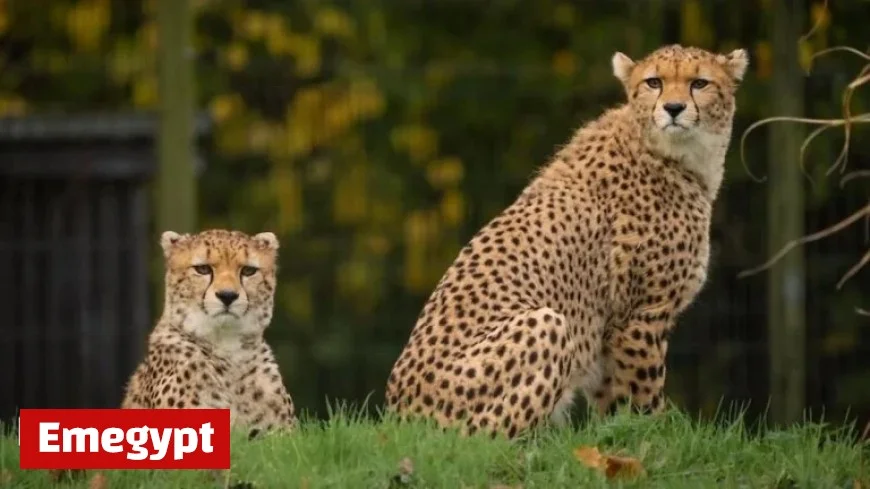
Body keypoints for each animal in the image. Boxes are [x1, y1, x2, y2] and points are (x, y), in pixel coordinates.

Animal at [384, 44, 749, 439]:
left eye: (700, 83)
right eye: (654, 82)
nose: (674, 108)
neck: (673, 154)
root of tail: (398, 417)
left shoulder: (610, 332)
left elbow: (612, 403)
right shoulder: (640, 316)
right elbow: (644, 398)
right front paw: (658, 436)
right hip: (546, 324)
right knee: (487, 439)